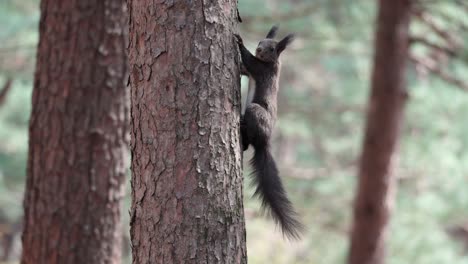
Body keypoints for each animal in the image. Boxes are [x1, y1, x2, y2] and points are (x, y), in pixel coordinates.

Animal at [234, 25, 304, 239]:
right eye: (260, 42)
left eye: (272, 49)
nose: (258, 49)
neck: (274, 62)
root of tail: (264, 143)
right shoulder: (252, 70)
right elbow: (244, 67)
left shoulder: (262, 69)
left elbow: (249, 61)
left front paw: (239, 41)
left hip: (255, 112)